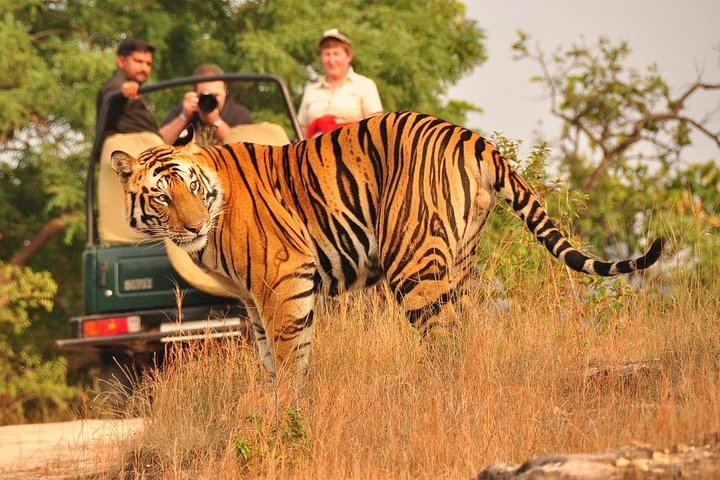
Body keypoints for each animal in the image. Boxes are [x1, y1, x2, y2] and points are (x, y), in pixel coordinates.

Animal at [111, 111, 664, 380]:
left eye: (190, 187)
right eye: (161, 196)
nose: (193, 226)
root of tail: (472, 137)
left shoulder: (283, 281)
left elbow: (290, 358)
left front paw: (288, 415)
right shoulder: (253, 299)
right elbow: (271, 358)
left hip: (413, 264)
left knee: (444, 340)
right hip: (459, 262)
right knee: (469, 332)